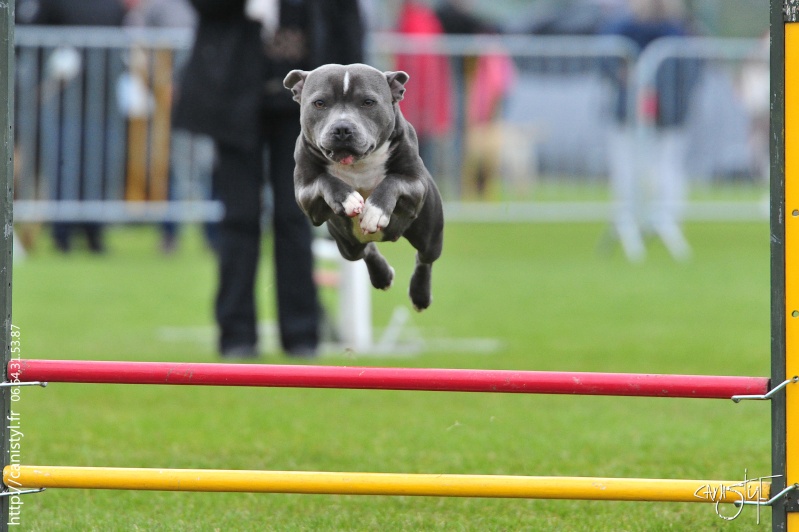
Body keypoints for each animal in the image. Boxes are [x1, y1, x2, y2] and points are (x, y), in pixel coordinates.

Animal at [284, 64, 444, 310]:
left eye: (368, 102)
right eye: (319, 103)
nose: (342, 128)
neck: (358, 164)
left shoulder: (414, 183)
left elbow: (392, 181)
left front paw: (374, 211)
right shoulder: (306, 195)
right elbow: (325, 180)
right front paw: (348, 198)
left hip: (430, 233)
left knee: (424, 259)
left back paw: (420, 295)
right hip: (347, 244)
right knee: (366, 250)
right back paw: (382, 276)